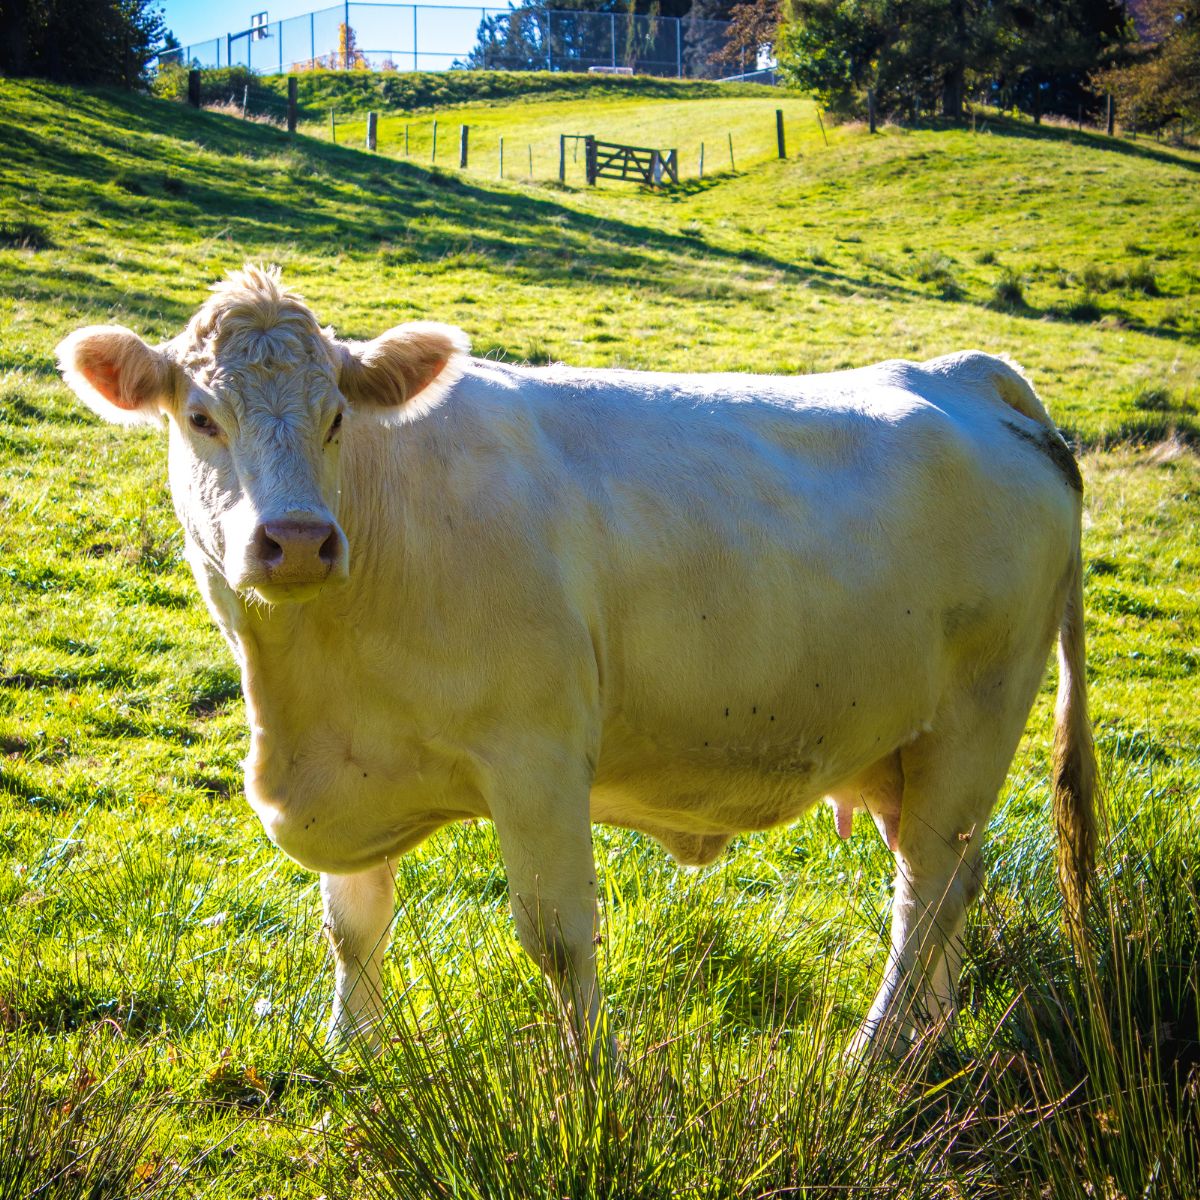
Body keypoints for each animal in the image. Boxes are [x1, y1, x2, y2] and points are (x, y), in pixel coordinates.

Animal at [63, 267, 1099, 1065]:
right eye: (202, 417)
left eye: (335, 420)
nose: (300, 541)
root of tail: (964, 372)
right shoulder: (354, 760)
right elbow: (354, 923)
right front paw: (352, 1052)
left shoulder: (539, 753)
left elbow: (559, 938)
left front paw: (594, 1080)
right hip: (906, 748)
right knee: (950, 882)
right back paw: (930, 1038)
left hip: (979, 713)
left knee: (927, 889)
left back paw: (872, 1052)